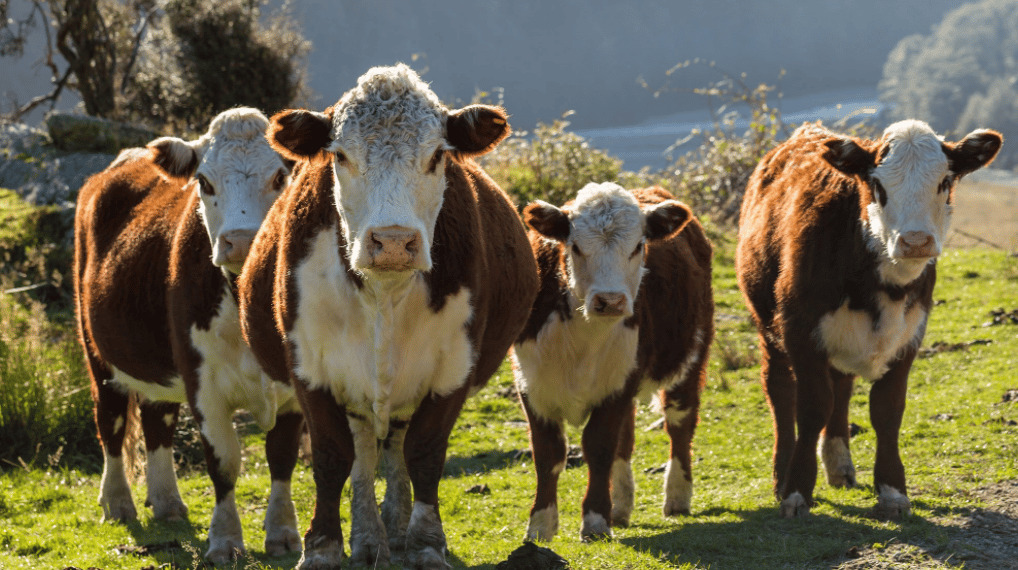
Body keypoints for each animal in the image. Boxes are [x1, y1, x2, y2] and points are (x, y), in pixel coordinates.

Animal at [74, 106, 301, 561]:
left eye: (279, 177)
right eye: (205, 181)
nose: (241, 242)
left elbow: (283, 457)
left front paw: (283, 533)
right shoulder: (203, 383)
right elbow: (224, 461)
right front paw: (225, 540)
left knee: (156, 420)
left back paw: (166, 503)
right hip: (97, 352)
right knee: (110, 422)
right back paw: (118, 502)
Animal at [238, 63, 541, 570]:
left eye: (438, 155)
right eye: (340, 155)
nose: (394, 241)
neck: (383, 294)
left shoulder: (454, 365)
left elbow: (425, 452)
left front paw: (424, 542)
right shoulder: (308, 365)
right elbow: (331, 457)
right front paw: (323, 547)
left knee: (396, 444)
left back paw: (393, 531)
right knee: (362, 451)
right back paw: (368, 539)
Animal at [513, 181, 712, 537]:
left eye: (638, 247)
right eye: (575, 246)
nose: (610, 301)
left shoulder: (620, 383)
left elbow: (600, 446)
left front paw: (594, 520)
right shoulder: (531, 384)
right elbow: (549, 454)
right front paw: (541, 524)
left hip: (690, 357)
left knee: (680, 424)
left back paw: (676, 497)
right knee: (627, 439)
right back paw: (620, 506)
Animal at [732, 120, 1001, 521]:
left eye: (944, 181)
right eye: (878, 185)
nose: (916, 241)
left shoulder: (909, 334)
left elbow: (887, 411)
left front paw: (892, 491)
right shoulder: (800, 330)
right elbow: (811, 406)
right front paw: (796, 491)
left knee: (841, 387)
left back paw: (839, 466)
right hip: (768, 324)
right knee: (780, 390)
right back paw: (781, 475)